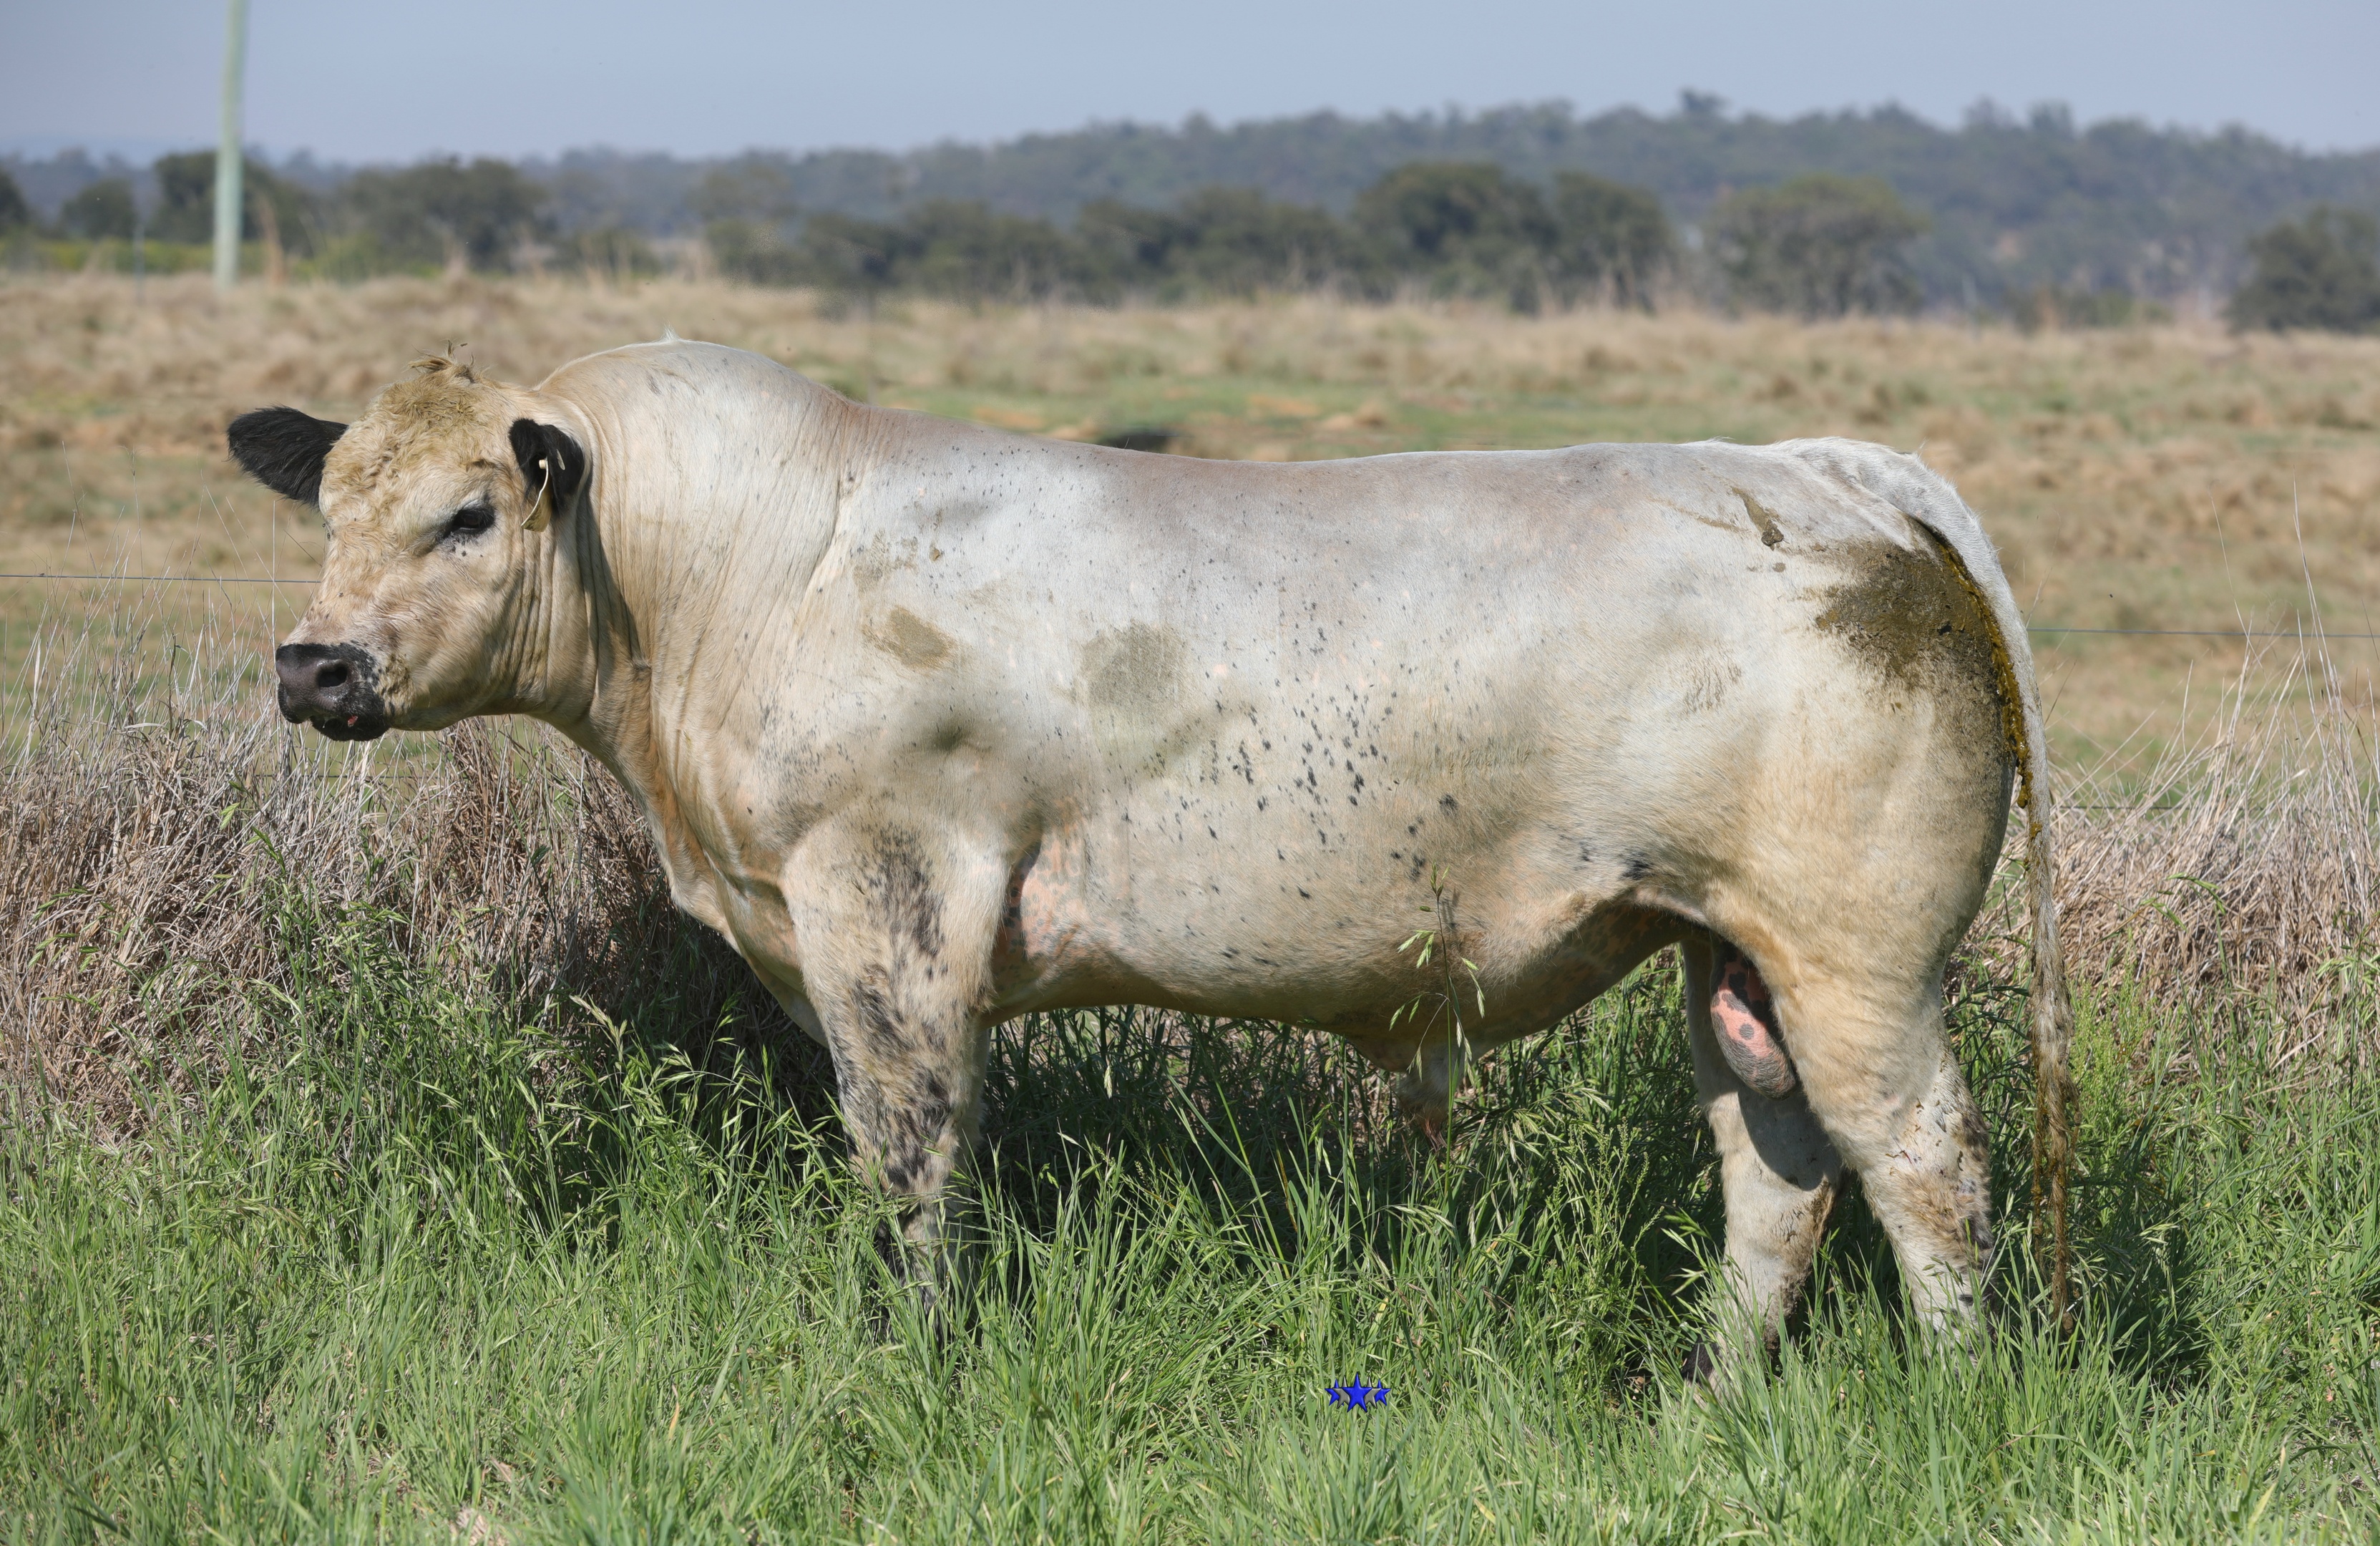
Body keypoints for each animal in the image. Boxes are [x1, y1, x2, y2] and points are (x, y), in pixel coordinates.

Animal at [228, 341, 2074, 1372]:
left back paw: (1961, 1391)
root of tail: (1812, 471)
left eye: (471, 513)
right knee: (1778, 1171)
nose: (313, 665)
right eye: (325, 503)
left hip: (1859, 960)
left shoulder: (887, 896)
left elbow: (908, 1153)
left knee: (1924, 1165)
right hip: (1730, 954)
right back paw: (1707, 1396)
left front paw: (903, 1357)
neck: (725, 570)